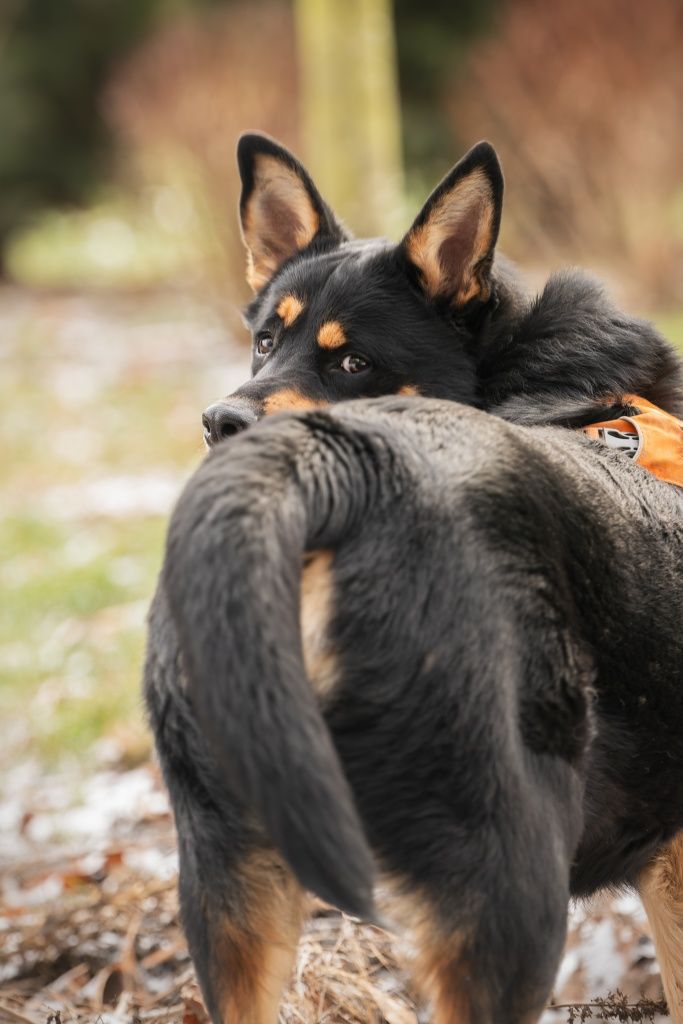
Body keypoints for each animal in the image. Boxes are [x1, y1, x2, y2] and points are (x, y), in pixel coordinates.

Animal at [144, 138, 683, 1024]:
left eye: (352, 361)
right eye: (266, 342)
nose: (220, 422)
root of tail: (327, 465)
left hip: (228, 878)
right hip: (505, 878)